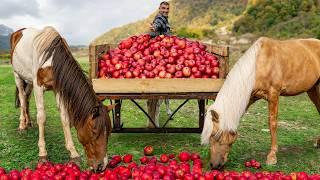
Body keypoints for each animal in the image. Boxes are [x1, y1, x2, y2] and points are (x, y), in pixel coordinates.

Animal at [10, 26, 114, 172]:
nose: (101, 166)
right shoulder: (38, 86)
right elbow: (41, 117)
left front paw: (73, 153)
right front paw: (42, 154)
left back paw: (28, 122)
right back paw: (22, 126)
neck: (51, 59)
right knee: (22, 99)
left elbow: (64, 118)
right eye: (94, 132)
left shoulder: (58, 88)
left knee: (26, 97)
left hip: (28, 81)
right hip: (17, 76)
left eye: (109, 132)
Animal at [201, 36, 318, 169]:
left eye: (215, 135)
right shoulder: (249, 97)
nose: (214, 165)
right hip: (313, 90)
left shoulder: (274, 94)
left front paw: (272, 157)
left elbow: (272, 123)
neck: (258, 65)